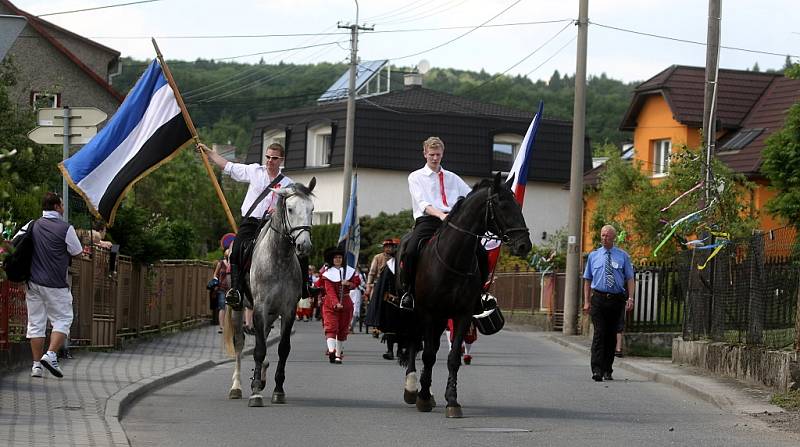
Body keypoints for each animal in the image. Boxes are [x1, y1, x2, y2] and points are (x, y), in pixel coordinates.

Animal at [223, 178, 318, 406]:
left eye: (311, 209)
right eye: (290, 209)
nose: (304, 245)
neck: (279, 258)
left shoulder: (288, 310)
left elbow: (282, 349)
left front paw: (278, 390)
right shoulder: (259, 308)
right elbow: (258, 349)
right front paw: (256, 393)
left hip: (271, 314)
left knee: (264, 338)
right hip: (240, 309)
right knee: (240, 344)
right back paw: (237, 386)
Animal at [398, 173, 532, 418]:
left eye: (517, 205)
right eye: (501, 204)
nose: (524, 245)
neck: (453, 259)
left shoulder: (462, 314)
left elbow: (452, 358)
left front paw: (451, 400)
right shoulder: (428, 312)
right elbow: (428, 354)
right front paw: (423, 397)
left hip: (441, 318)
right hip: (418, 313)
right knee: (414, 343)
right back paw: (412, 389)